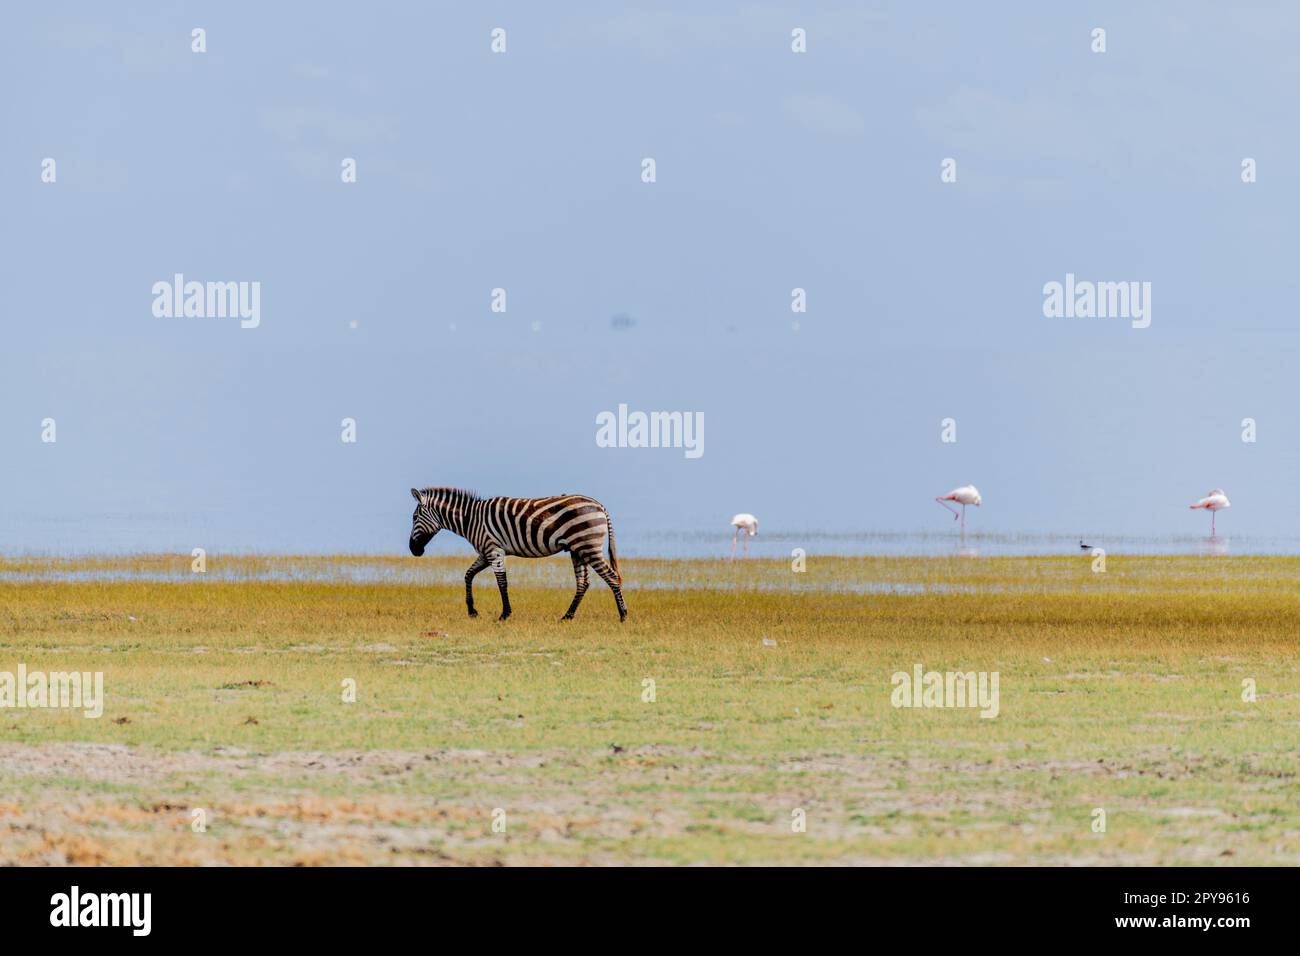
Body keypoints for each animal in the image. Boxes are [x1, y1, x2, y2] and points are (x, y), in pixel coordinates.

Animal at [408, 487, 627, 622]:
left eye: (414, 517)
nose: (413, 550)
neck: (471, 519)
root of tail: (599, 505)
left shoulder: (493, 549)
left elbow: (502, 582)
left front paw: (504, 614)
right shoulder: (486, 552)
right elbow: (468, 575)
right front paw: (472, 611)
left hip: (588, 546)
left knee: (611, 577)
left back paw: (623, 615)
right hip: (577, 550)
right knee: (583, 582)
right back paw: (567, 616)